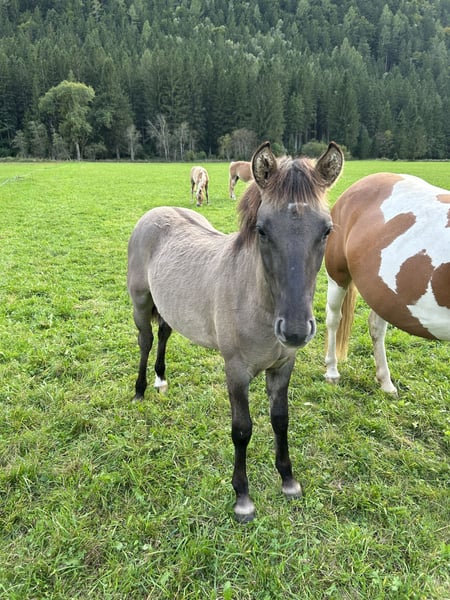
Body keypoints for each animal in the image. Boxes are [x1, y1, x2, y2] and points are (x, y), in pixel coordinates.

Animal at [128, 141, 344, 522]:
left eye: (327, 230)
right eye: (262, 230)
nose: (295, 331)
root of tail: (155, 213)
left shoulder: (283, 366)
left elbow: (280, 420)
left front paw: (288, 481)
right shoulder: (236, 370)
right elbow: (242, 430)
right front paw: (243, 497)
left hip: (169, 307)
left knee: (164, 334)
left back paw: (161, 381)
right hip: (140, 303)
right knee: (146, 340)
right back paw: (140, 390)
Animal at [324, 172, 450, 395]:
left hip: (382, 294)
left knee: (376, 327)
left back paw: (385, 381)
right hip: (337, 276)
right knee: (333, 319)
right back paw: (332, 371)